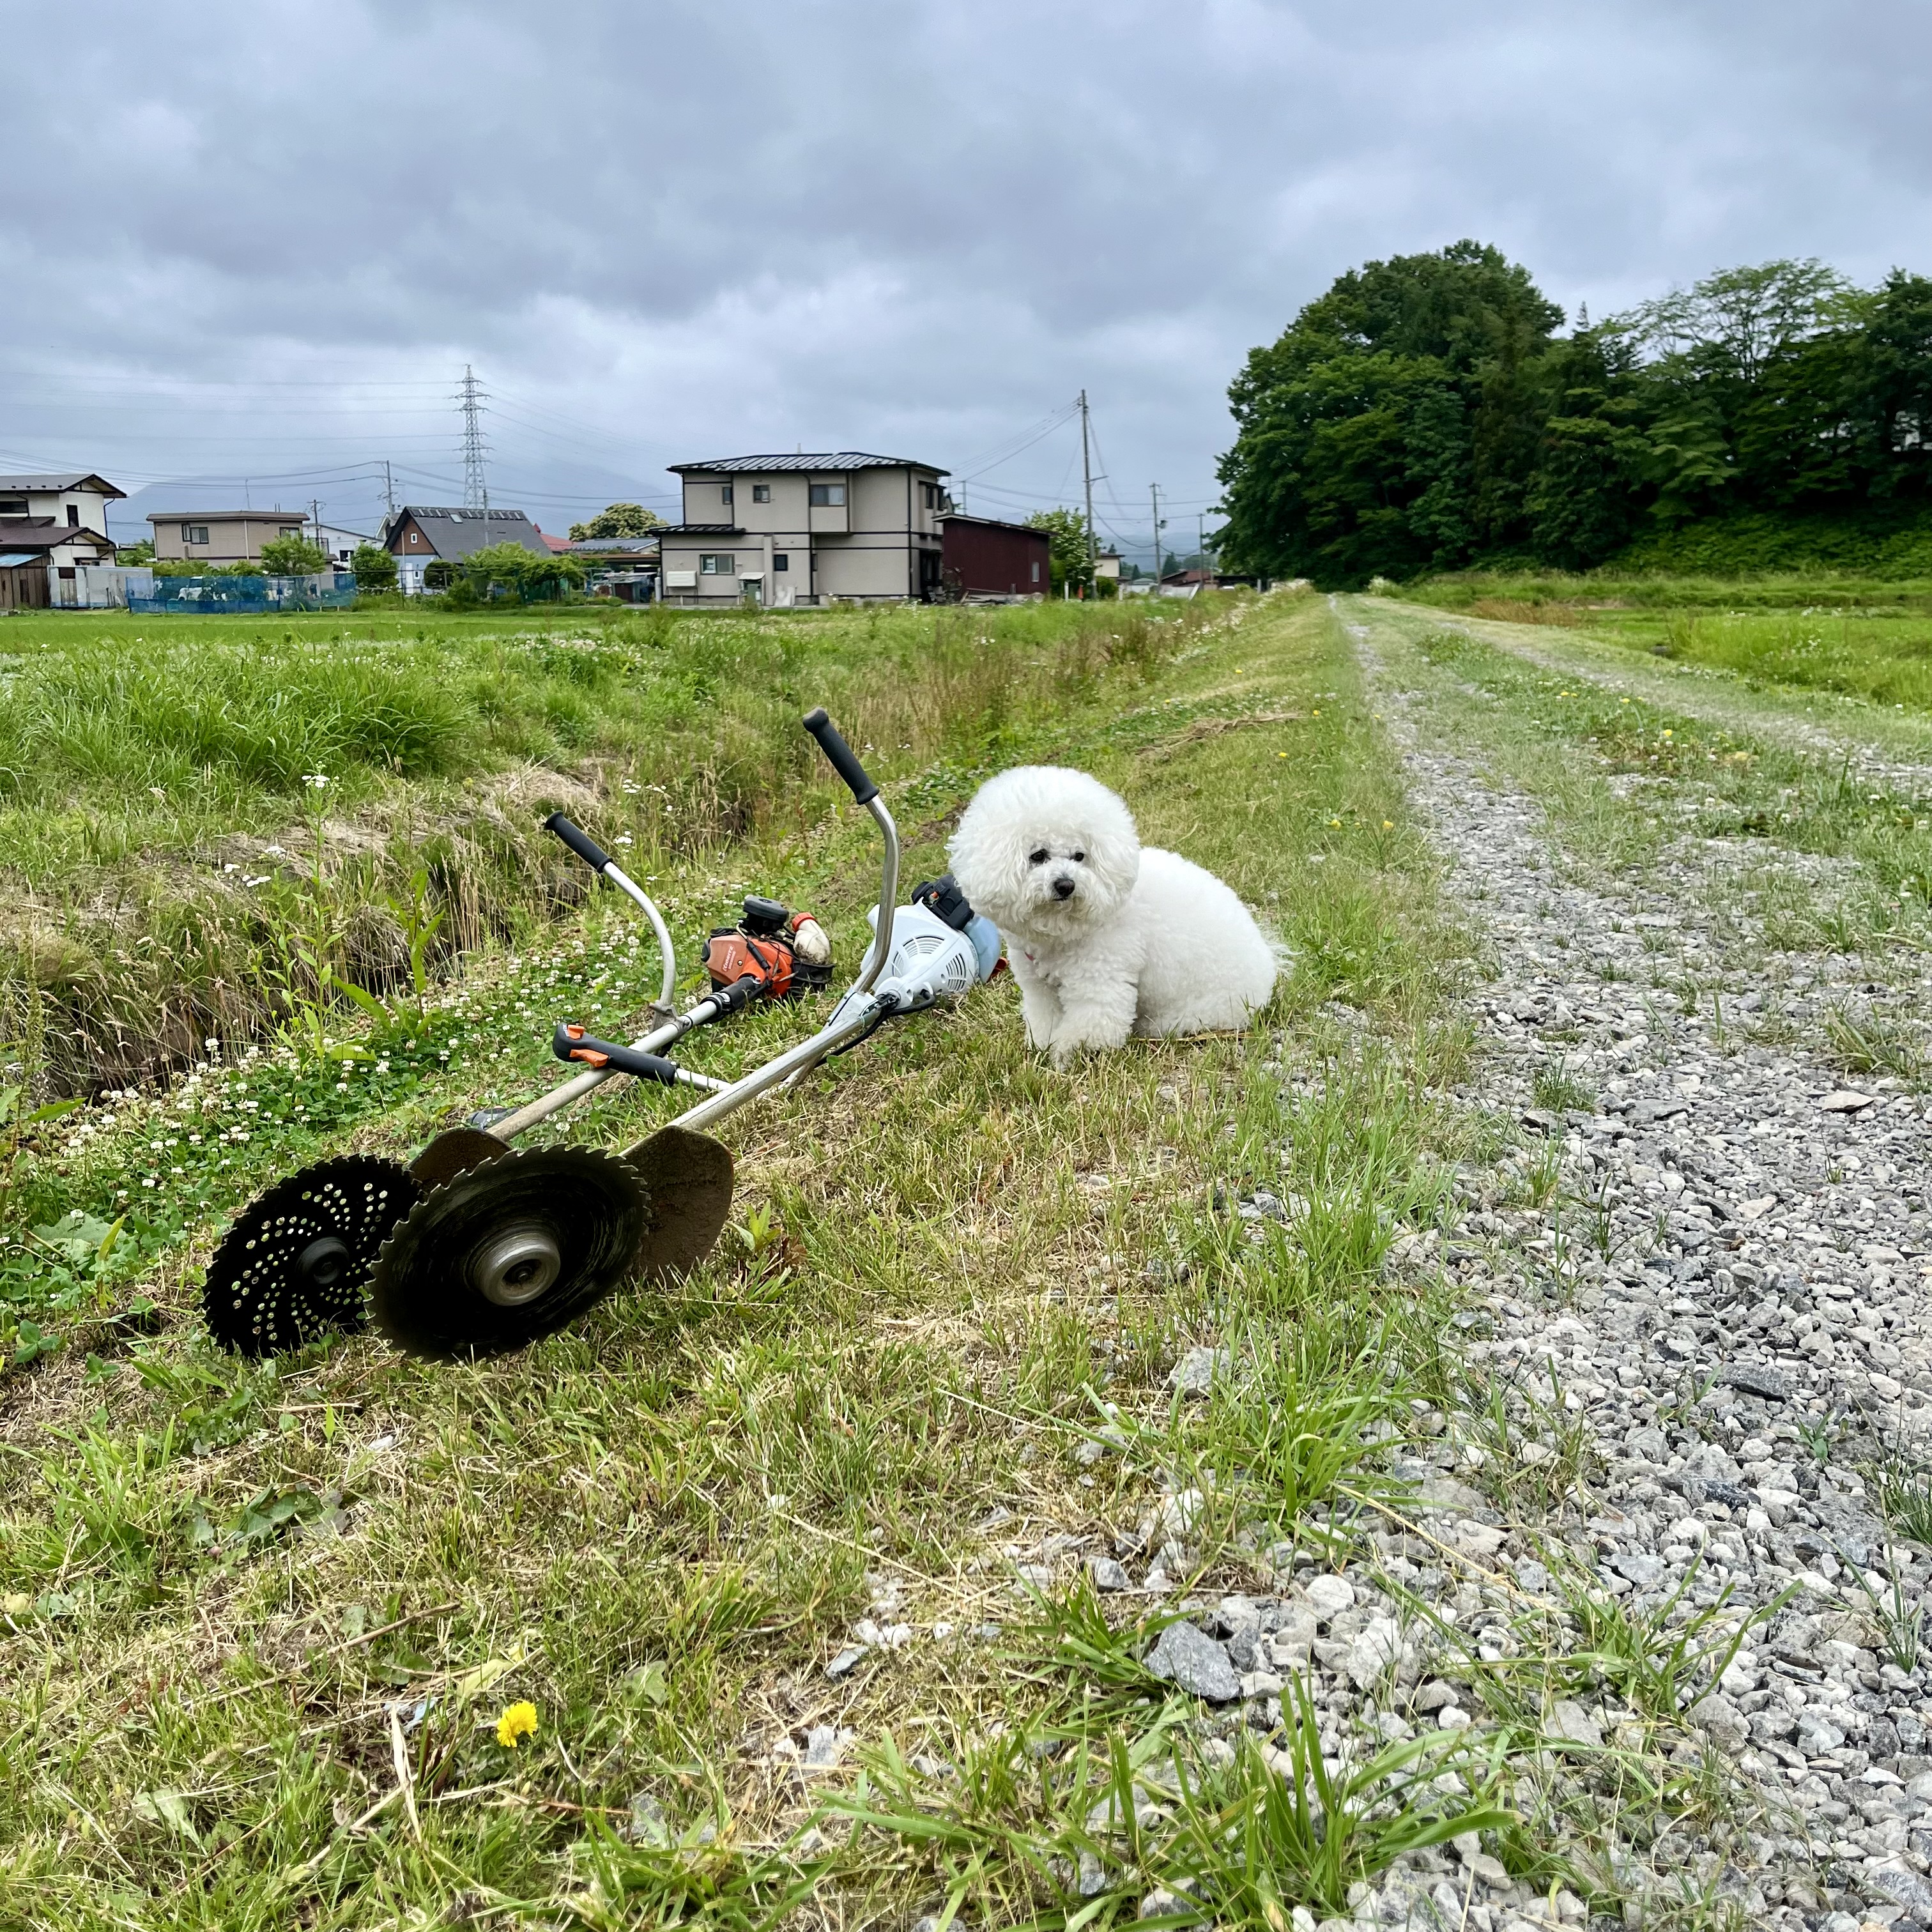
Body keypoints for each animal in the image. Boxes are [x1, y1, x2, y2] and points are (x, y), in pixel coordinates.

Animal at [950, 765, 1282, 1066]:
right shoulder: (1039, 988)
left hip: (1203, 1010)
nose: (1066, 884)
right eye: (1038, 856)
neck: (1061, 932)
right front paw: (1042, 1046)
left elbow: (1091, 1025)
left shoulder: (1100, 979)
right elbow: (1045, 1020)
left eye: (1080, 856)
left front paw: (1068, 1055)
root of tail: (1267, 975)